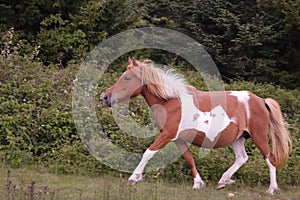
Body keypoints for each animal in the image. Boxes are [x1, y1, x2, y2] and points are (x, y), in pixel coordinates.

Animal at [100, 57, 290, 194]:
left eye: (127, 78)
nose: (105, 97)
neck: (171, 101)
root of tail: (262, 101)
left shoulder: (167, 134)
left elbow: (148, 152)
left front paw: (133, 178)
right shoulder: (178, 139)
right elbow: (189, 158)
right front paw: (198, 183)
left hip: (259, 136)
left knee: (270, 158)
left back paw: (271, 189)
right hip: (238, 138)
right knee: (242, 158)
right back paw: (223, 181)